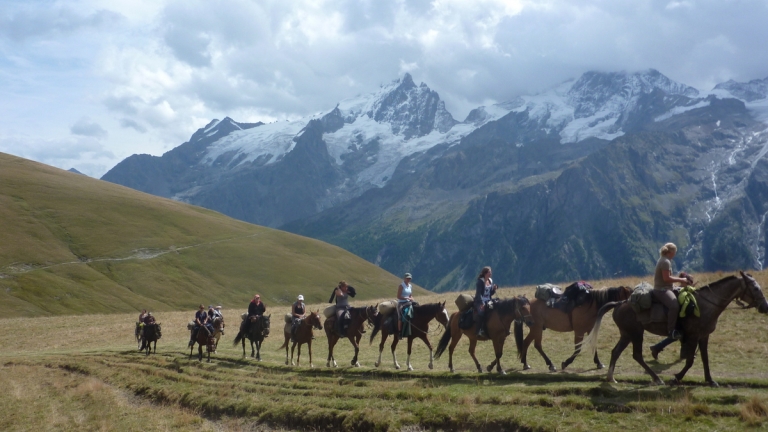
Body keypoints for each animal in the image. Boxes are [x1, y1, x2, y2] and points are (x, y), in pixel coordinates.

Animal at [584, 272, 768, 386]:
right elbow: (690, 360)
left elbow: (705, 358)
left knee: (616, 351)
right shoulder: (693, 336)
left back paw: (611, 378)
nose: (765, 306)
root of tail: (620, 303)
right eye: (755, 288)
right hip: (636, 333)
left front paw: (710, 380)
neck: (706, 304)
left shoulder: (703, 336)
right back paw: (657, 378)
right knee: (637, 355)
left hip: (627, 334)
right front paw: (677, 378)